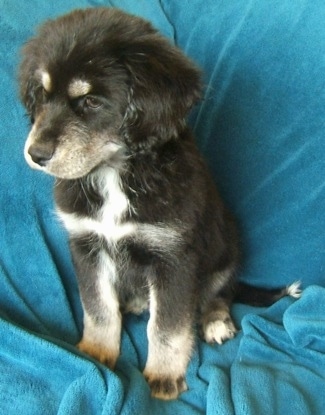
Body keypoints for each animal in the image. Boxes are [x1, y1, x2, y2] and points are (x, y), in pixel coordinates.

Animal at [19, 8, 300, 400]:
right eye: (42, 95)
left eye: (92, 101)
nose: (36, 154)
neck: (117, 173)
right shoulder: (86, 245)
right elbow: (98, 306)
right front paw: (96, 355)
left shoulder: (174, 258)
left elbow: (167, 327)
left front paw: (164, 377)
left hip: (226, 247)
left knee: (221, 291)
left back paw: (215, 321)